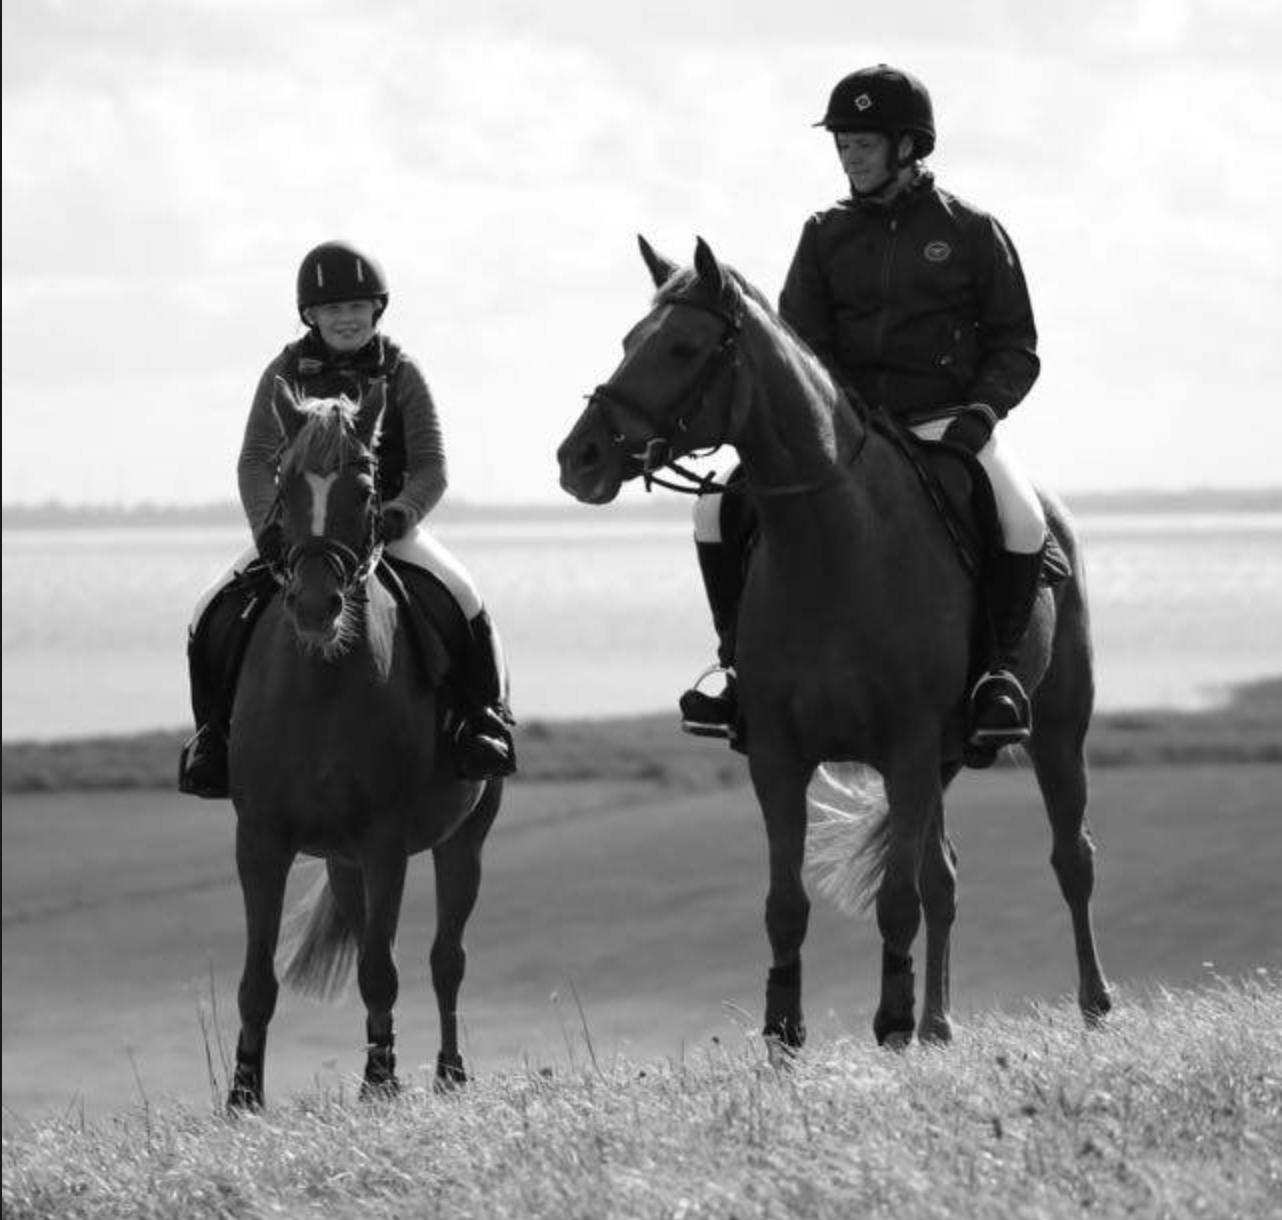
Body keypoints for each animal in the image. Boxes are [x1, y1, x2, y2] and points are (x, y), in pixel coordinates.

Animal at [225, 379, 503, 1110]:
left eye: (365, 488)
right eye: (286, 484)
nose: (316, 606)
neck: (321, 682)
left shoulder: (385, 841)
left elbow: (384, 969)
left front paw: (381, 1082)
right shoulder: (260, 838)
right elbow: (255, 979)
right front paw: (243, 1094)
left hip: (463, 839)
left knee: (446, 959)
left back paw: (448, 1072)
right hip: (343, 861)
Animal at [556, 236, 1112, 1051]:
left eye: (683, 346)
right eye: (631, 341)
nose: (580, 457)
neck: (836, 541)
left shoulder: (907, 749)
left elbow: (896, 901)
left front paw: (890, 1023)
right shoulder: (780, 757)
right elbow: (787, 905)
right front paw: (784, 1031)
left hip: (1055, 730)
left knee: (1071, 858)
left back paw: (1091, 1005)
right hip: (943, 758)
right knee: (944, 878)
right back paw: (939, 1025)